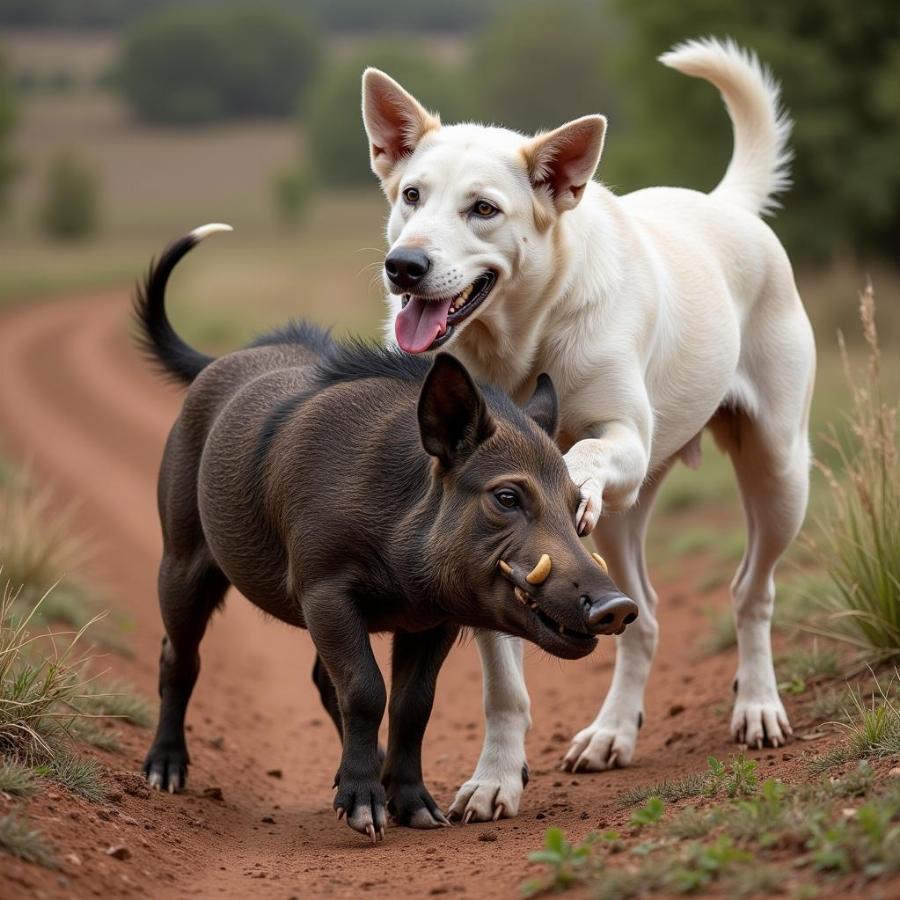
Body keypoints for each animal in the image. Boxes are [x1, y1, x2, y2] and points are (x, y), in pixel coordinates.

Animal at [360, 37, 816, 824]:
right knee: (647, 617)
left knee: (751, 593)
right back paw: (612, 733)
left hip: (779, 473)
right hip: (627, 524)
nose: (404, 266)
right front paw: (496, 778)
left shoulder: (623, 435)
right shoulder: (485, 555)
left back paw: (757, 707)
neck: (519, 346)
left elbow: (587, 452)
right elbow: (504, 688)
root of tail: (723, 204)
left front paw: (567, 471)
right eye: (411, 196)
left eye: (483, 209)